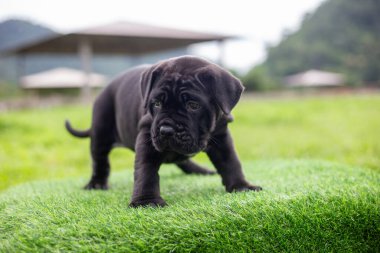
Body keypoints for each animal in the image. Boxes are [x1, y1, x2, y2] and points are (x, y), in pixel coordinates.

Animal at [66, 55, 262, 208]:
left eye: (193, 105)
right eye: (157, 104)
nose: (166, 130)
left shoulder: (221, 136)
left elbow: (231, 162)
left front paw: (241, 186)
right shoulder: (147, 136)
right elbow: (146, 170)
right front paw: (146, 201)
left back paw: (200, 170)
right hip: (101, 132)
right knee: (100, 161)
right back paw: (97, 184)